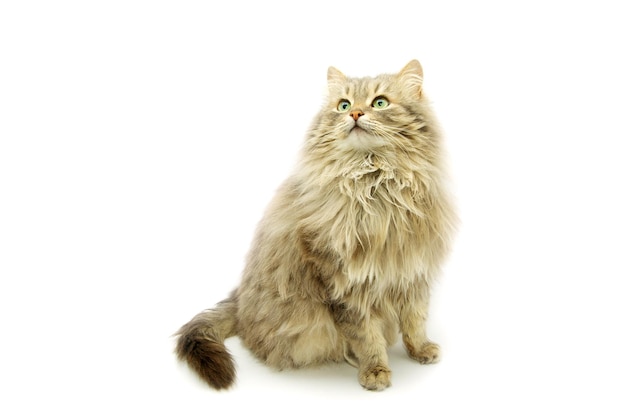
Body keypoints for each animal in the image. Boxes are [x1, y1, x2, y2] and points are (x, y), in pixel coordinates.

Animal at [176, 60, 454, 392]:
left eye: (380, 103)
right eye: (343, 105)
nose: (355, 114)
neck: (376, 189)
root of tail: (239, 299)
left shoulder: (413, 272)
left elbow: (415, 321)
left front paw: (420, 350)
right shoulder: (344, 284)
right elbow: (366, 336)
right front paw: (375, 370)